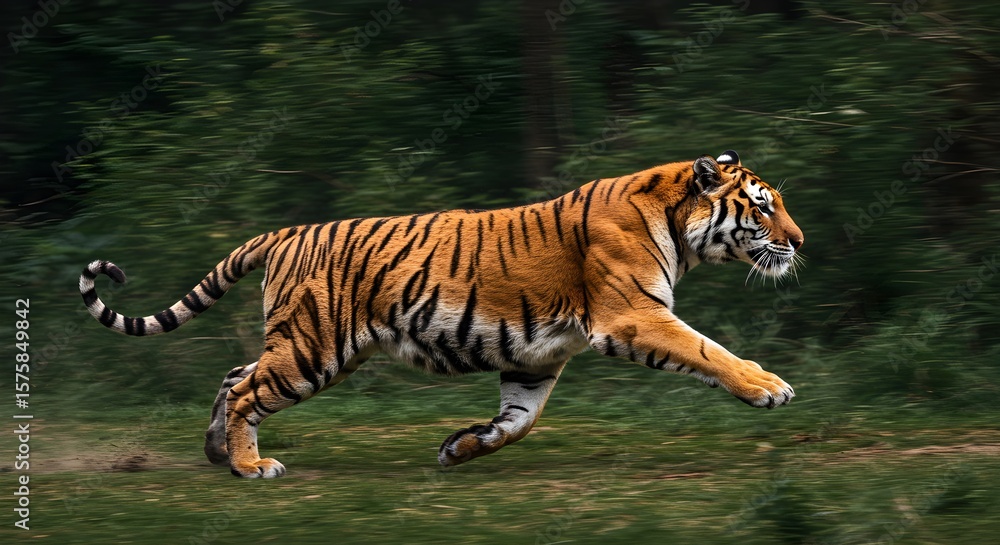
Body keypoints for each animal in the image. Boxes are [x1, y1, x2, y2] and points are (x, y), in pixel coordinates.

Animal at [79, 150, 804, 478]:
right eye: (762, 206)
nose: (800, 241)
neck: (679, 228)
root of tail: (285, 232)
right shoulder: (632, 316)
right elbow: (708, 349)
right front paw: (770, 388)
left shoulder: (538, 358)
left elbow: (518, 421)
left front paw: (459, 448)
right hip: (313, 348)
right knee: (246, 390)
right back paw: (249, 466)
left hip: (301, 343)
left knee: (235, 376)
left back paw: (217, 454)